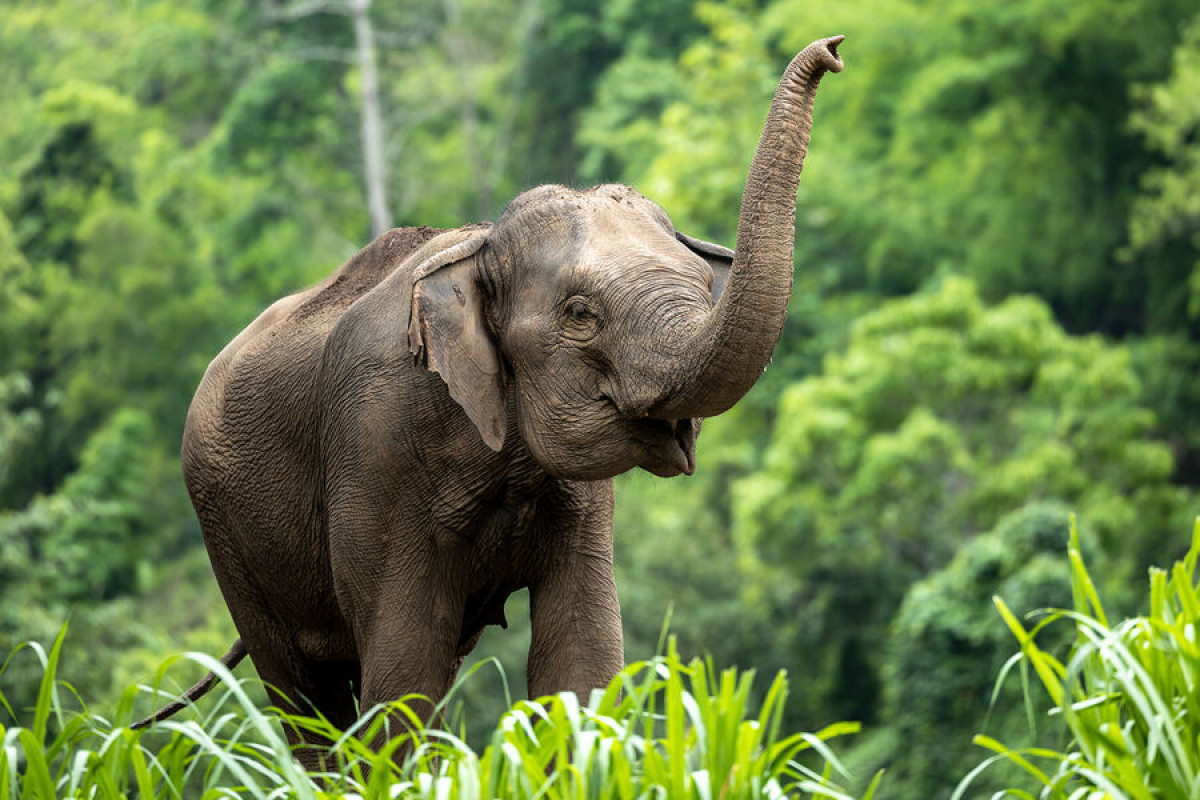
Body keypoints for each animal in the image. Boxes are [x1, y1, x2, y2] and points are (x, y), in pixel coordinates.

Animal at [133, 35, 844, 762]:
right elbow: (404, 669)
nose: (833, 50)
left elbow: (581, 656)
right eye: (580, 313)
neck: (478, 243)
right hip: (225, 529)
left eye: (705, 284)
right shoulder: (376, 445)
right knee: (306, 694)